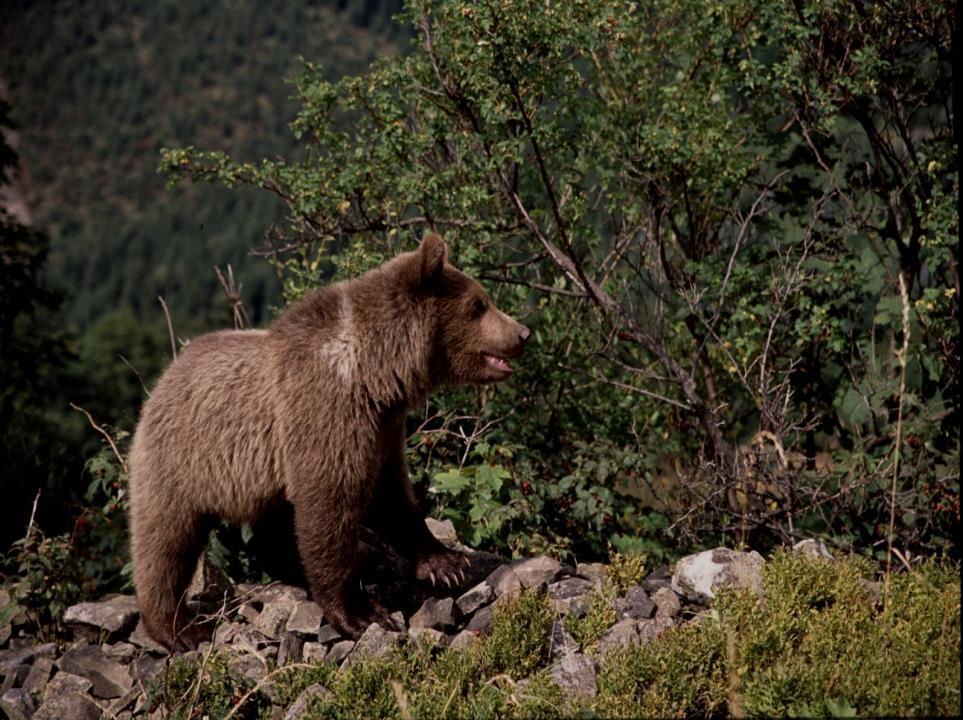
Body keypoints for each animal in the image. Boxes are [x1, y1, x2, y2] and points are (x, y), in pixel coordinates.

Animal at [127, 233, 528, 648]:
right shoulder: (326, 415)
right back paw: (179, 627)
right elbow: (330, 510)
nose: (522, 333)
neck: (376, 374)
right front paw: (364, 614)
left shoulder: (382, 429)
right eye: (478, 304)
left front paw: (445, 563)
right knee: (165, 540)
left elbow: (392, 497)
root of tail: (163, 378)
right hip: (182, 460)